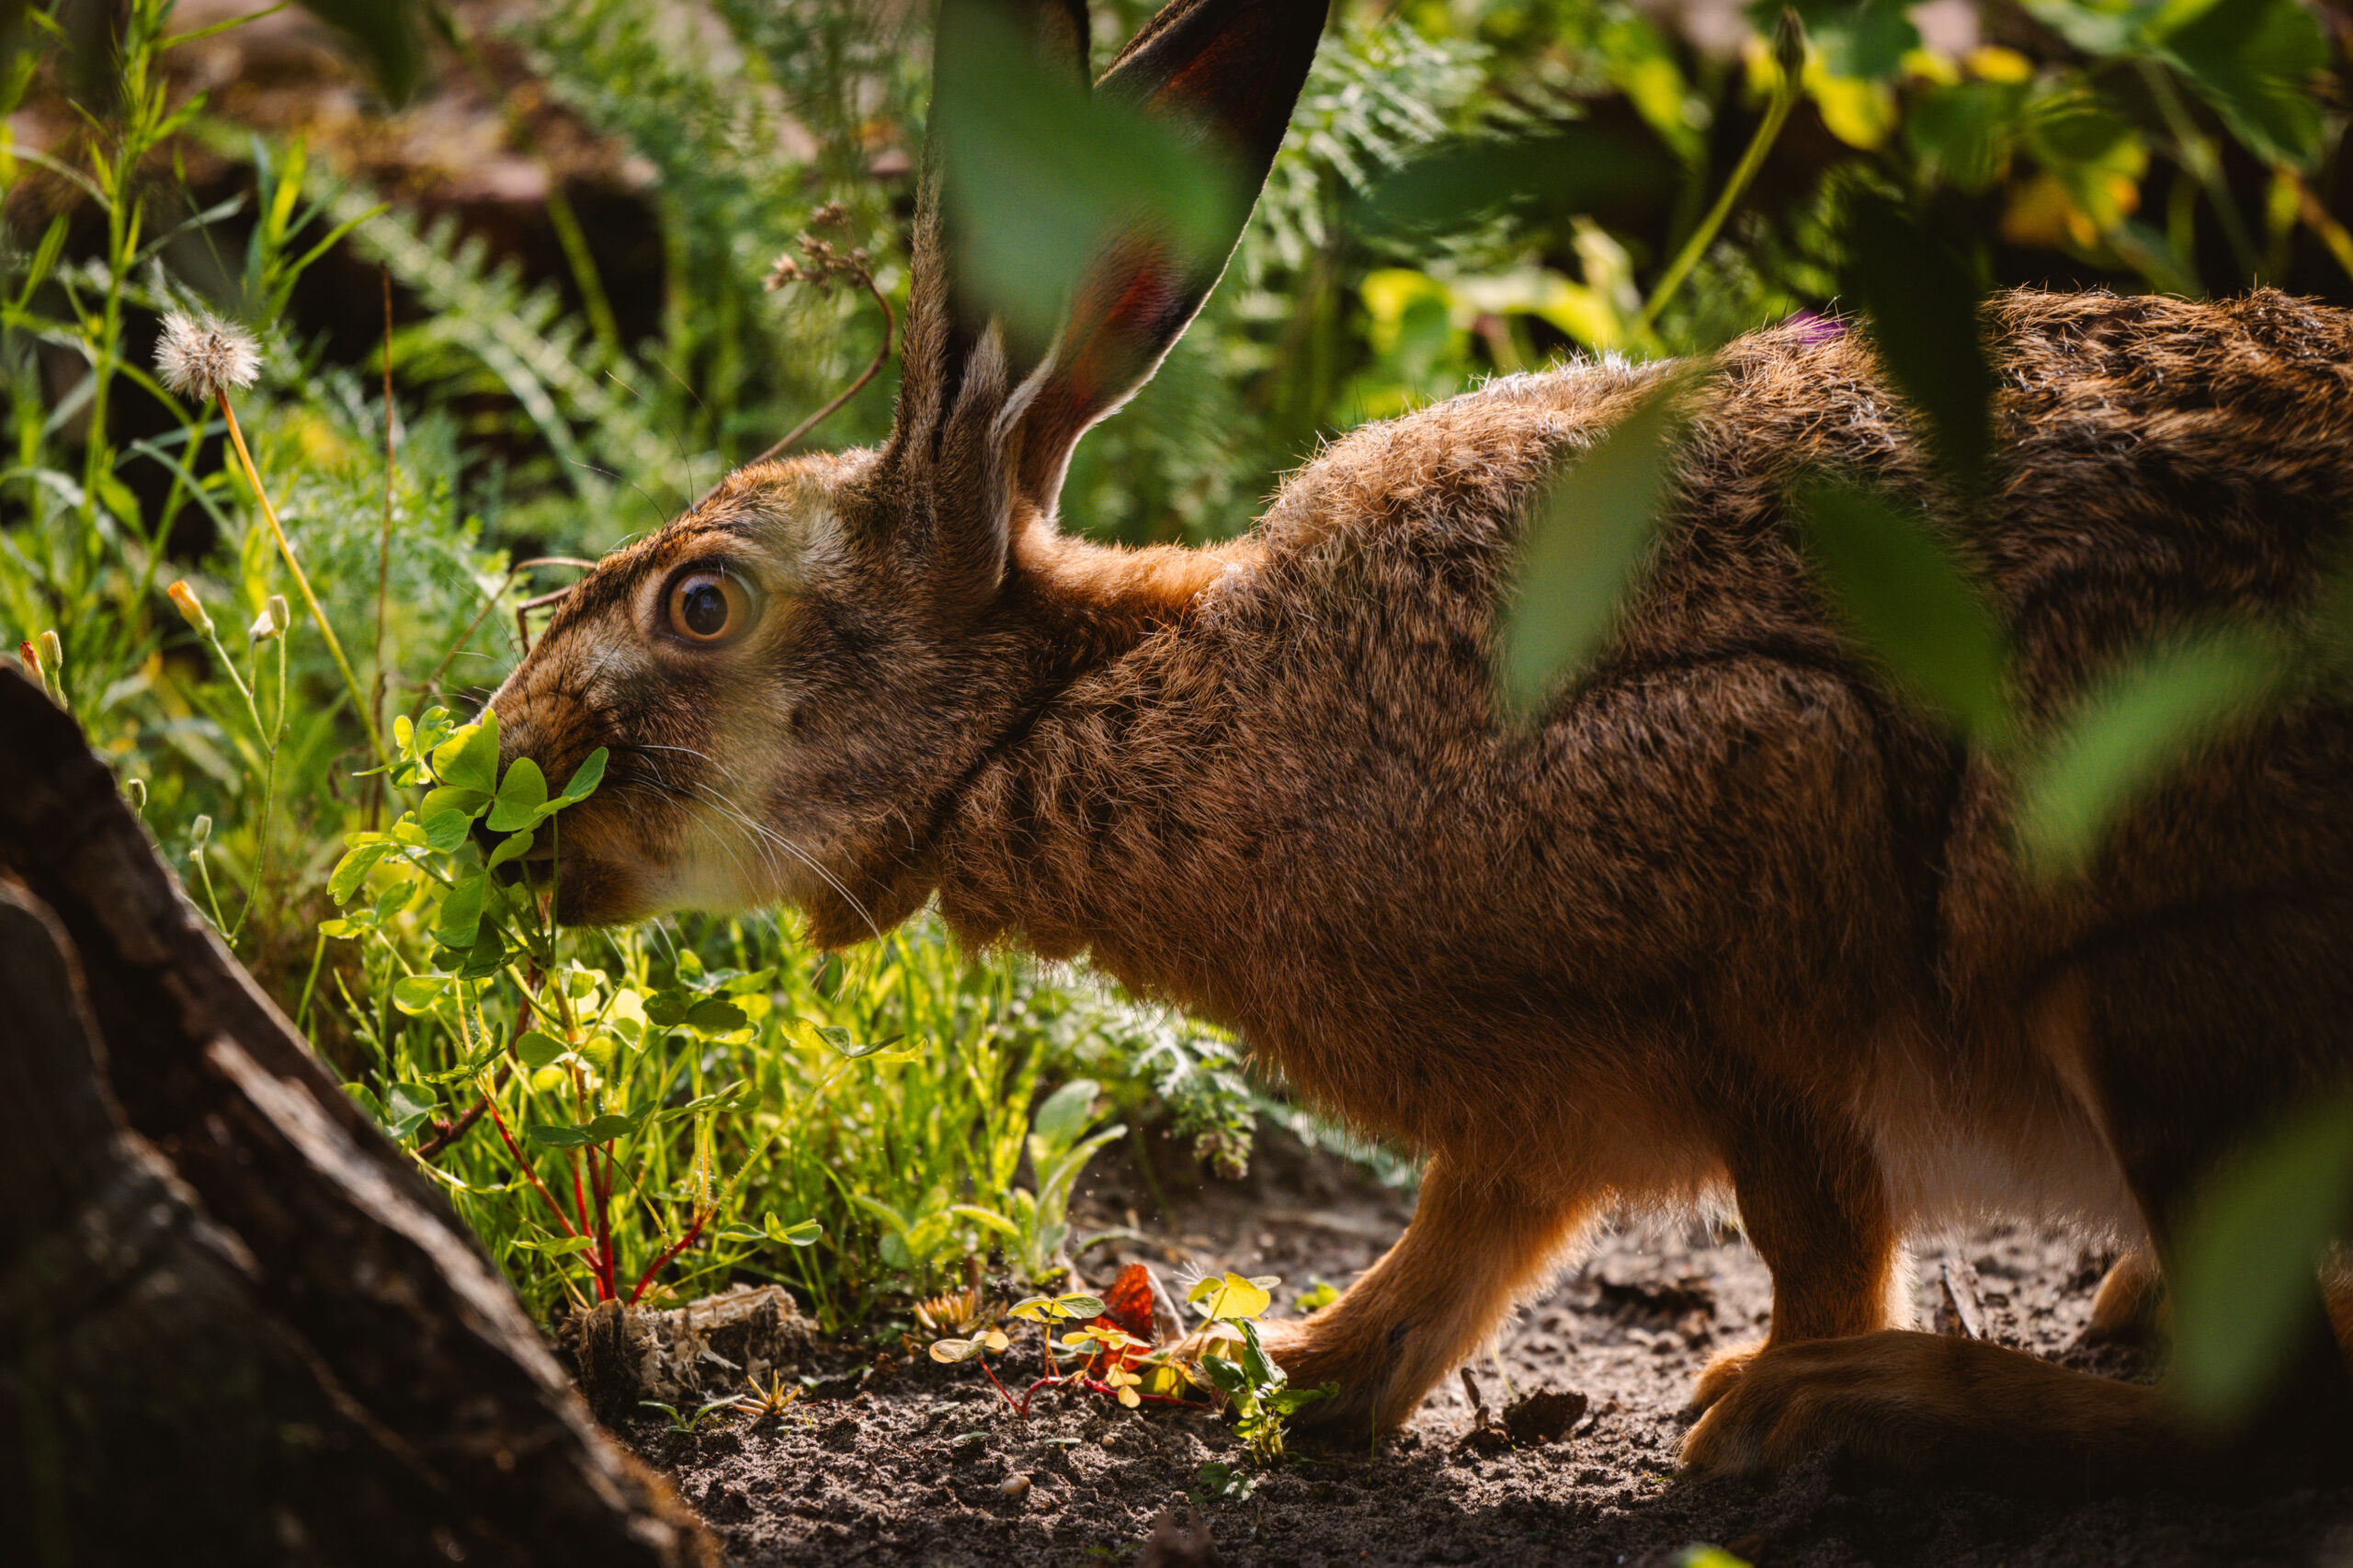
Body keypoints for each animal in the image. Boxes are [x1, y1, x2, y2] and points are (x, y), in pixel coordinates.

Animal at [482, 0, 2353, 1488]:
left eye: (702, 607)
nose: (493, 794)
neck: (1066, 708)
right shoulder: (1528, 1101)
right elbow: (1464, 1242)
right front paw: (1247, 1372)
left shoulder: (1761, 828)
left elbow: (1810, 1221)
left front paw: (1769, 1398)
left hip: (2154, 979)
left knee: (2268, 1404)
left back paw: (1878, 1406)